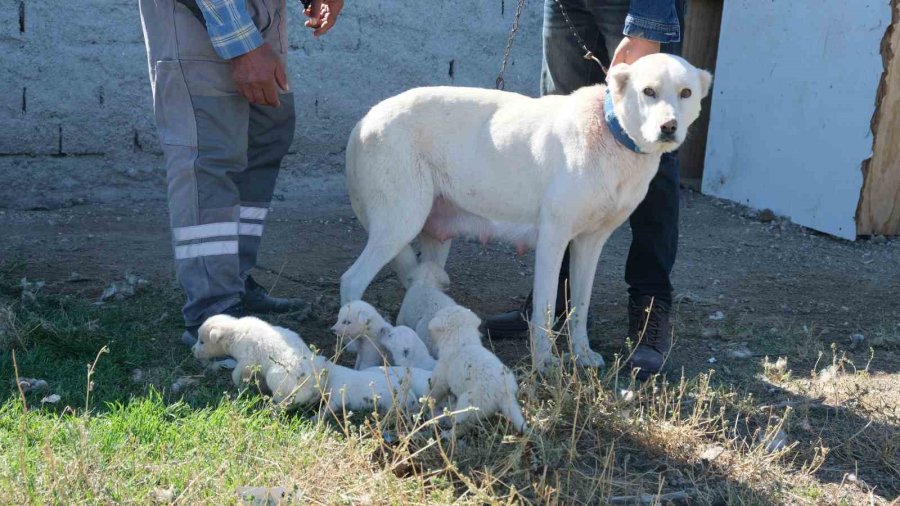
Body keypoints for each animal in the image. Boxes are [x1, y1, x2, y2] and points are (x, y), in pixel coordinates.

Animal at [338, 55, 712, 370]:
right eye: (648, 91)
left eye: (686, 93)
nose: (668, 127)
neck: (611, 131)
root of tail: (364, 120)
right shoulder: (553, 240)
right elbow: (544, 310)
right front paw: (545, 363)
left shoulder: (590, 245)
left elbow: (580, 307)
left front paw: (582, 354)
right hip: (400, 222)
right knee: (352, 279)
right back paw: (354, 344)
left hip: (435, 236)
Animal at [424, 304, 524, 434]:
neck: (463, 342)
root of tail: (504, 392)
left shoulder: (441, 376)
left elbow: (433, 390)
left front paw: (425, 404)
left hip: (468, 402)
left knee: (461, 426)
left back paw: (447, 434)